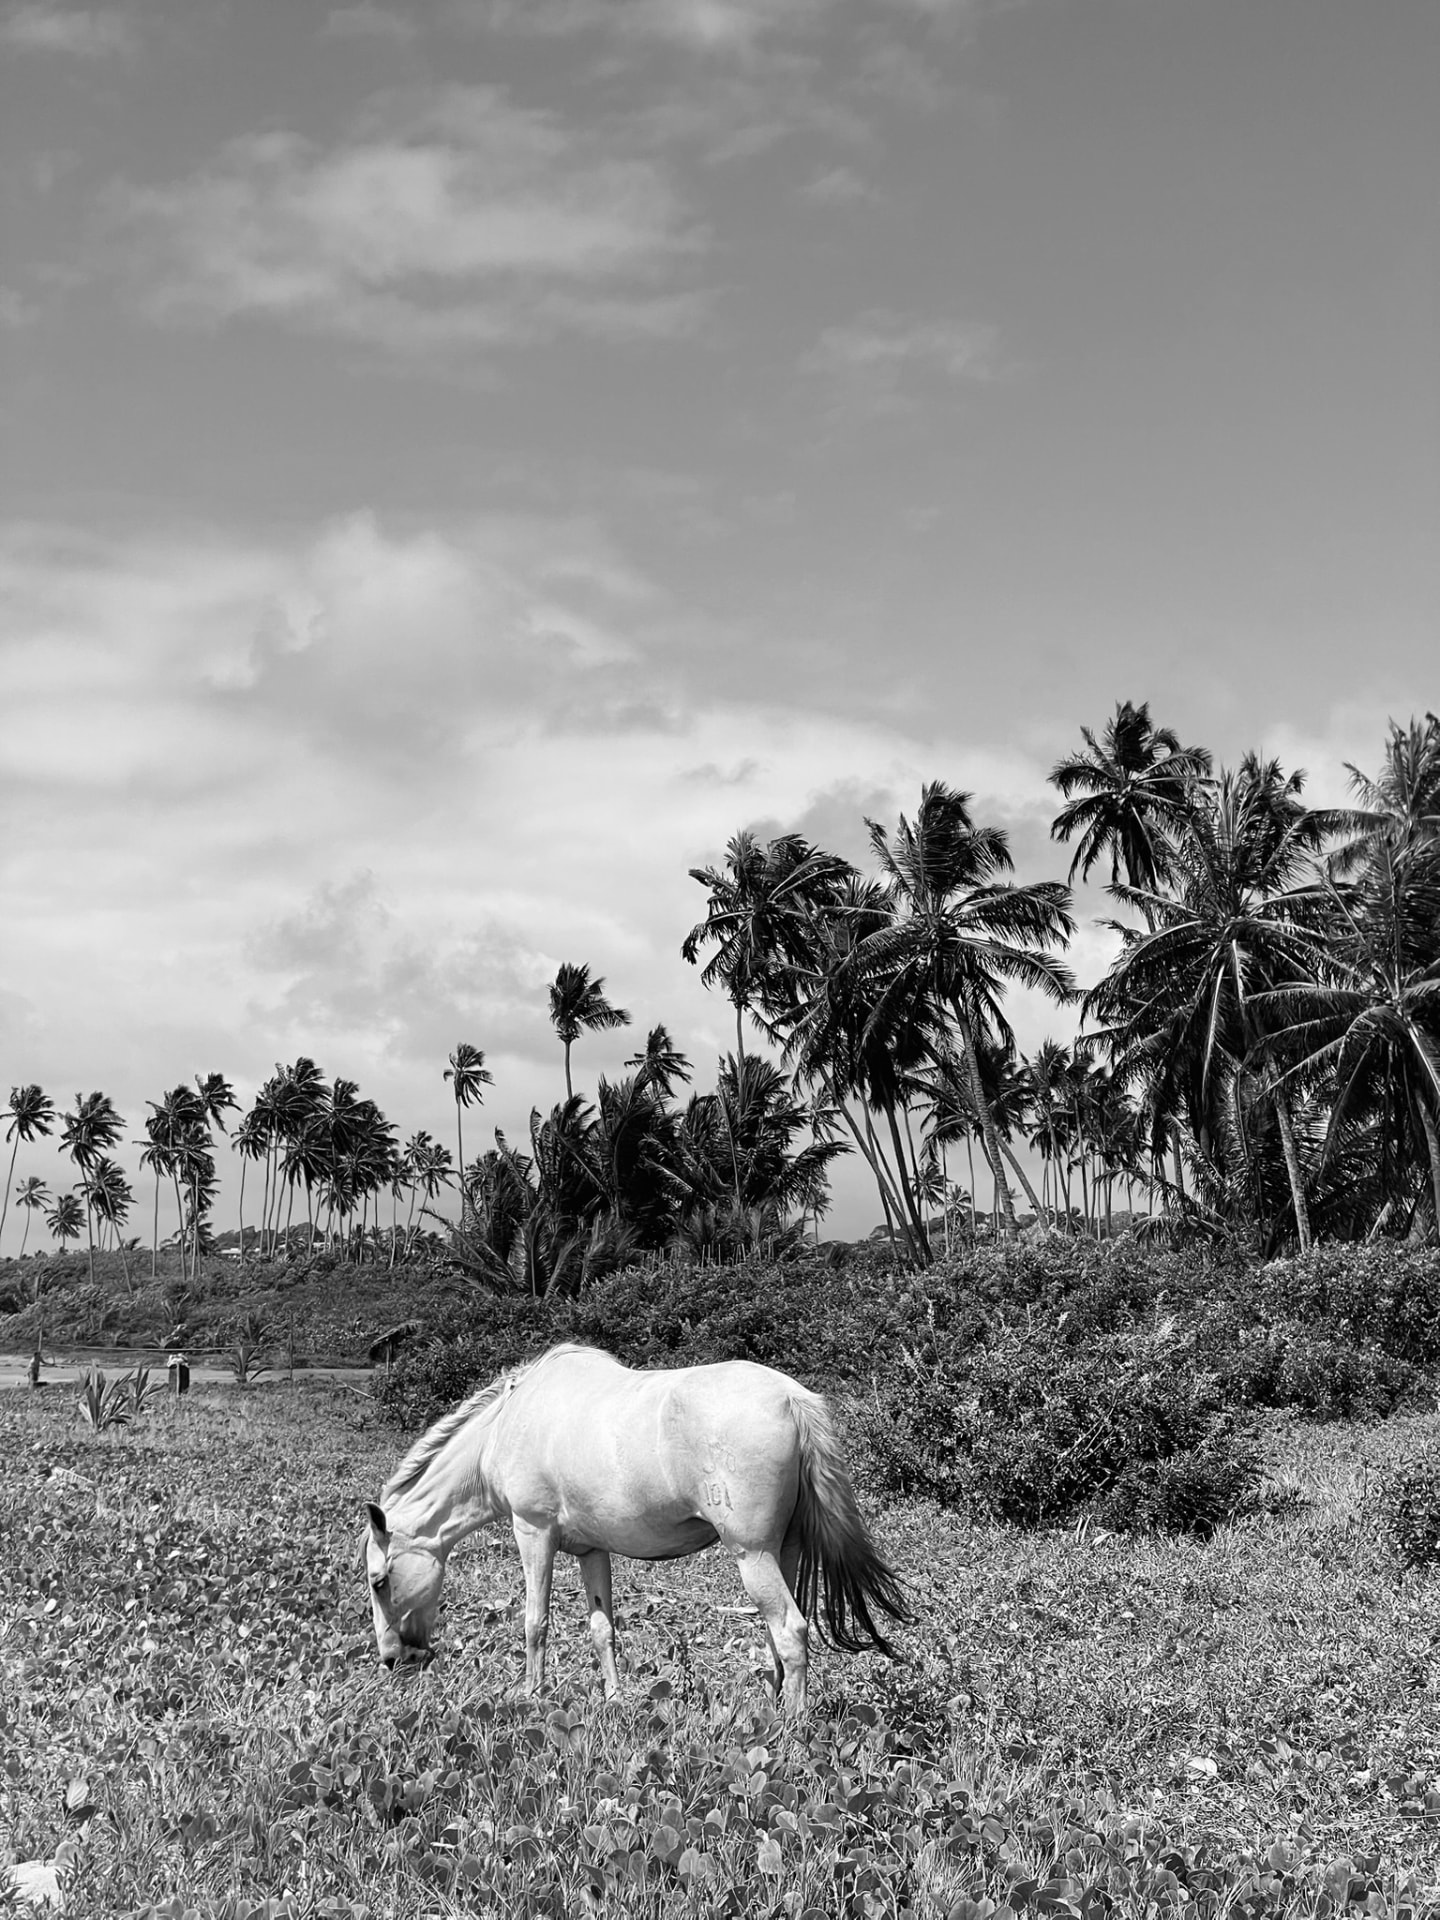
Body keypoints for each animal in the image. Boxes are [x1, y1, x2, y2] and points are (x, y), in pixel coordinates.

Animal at [362, 1342, 909, 1715]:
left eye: (379, 1580)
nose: (393, 1659)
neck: (506, 1426)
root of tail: (793, 1399)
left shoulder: (532, 1533)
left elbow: (535, 1622)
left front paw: (532, 1697)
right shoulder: (591, 1551)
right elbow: (602, 1628)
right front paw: (613, 1698)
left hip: (752, 1556)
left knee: (792, 1632)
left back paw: (790, 1727)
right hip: (783, 1553)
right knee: (780, 1635)